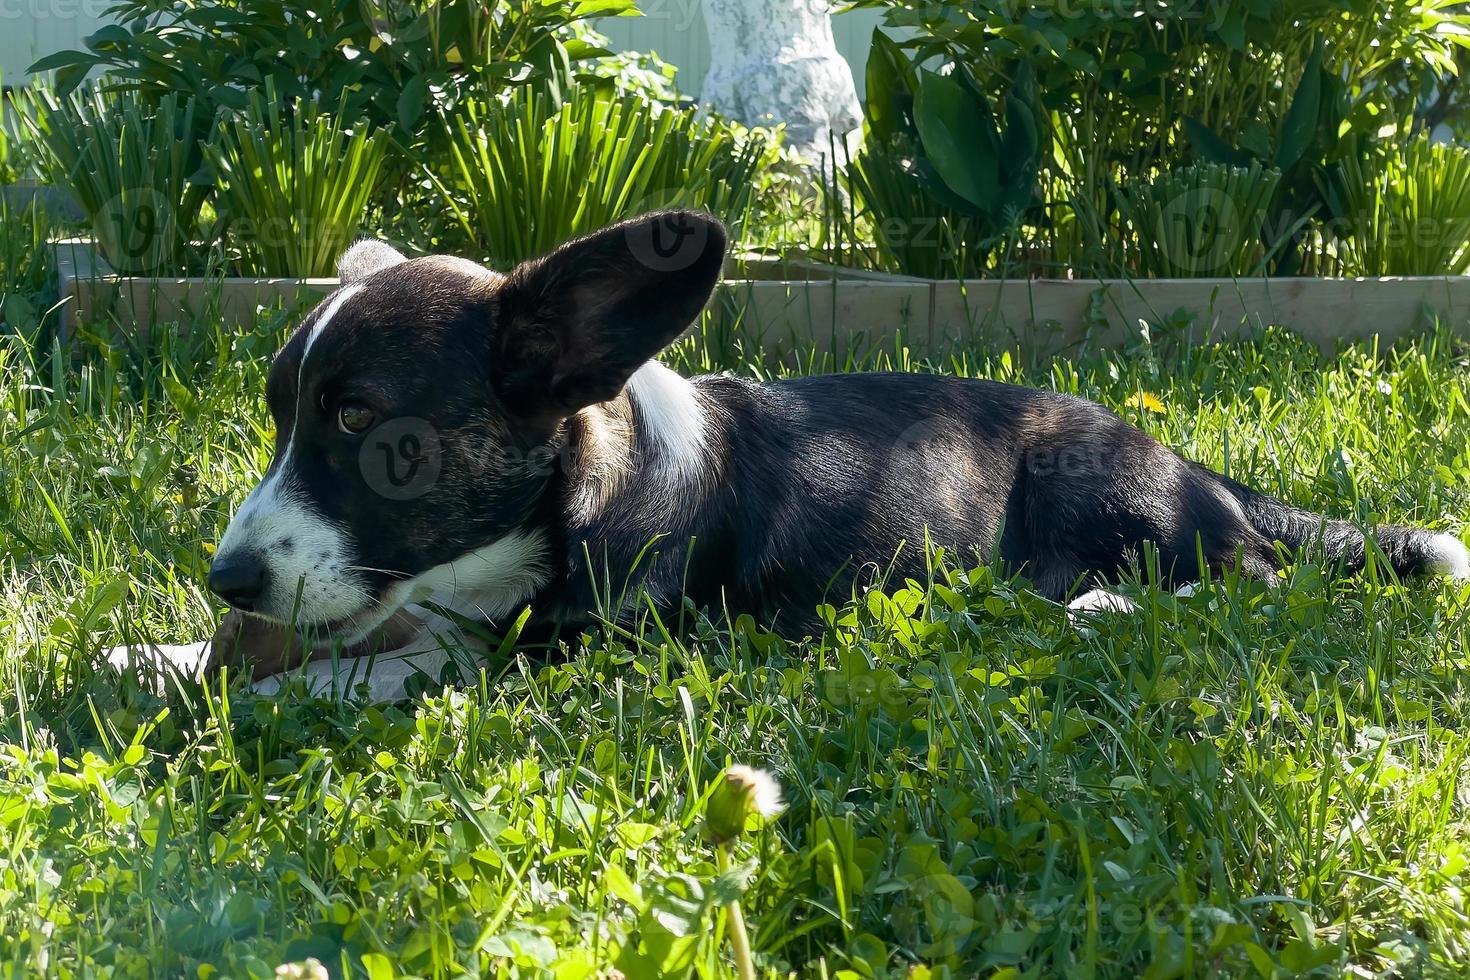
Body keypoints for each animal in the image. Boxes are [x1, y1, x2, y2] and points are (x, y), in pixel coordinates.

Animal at [204, 211, 1470, 693]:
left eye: (364, 425)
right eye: (281, 414)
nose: (226, 579)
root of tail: (1205, 470)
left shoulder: (552, 650)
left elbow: (376, 668)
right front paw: (178, 659)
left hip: (1107, 488)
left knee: (1254, 577)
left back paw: (1105, 605)